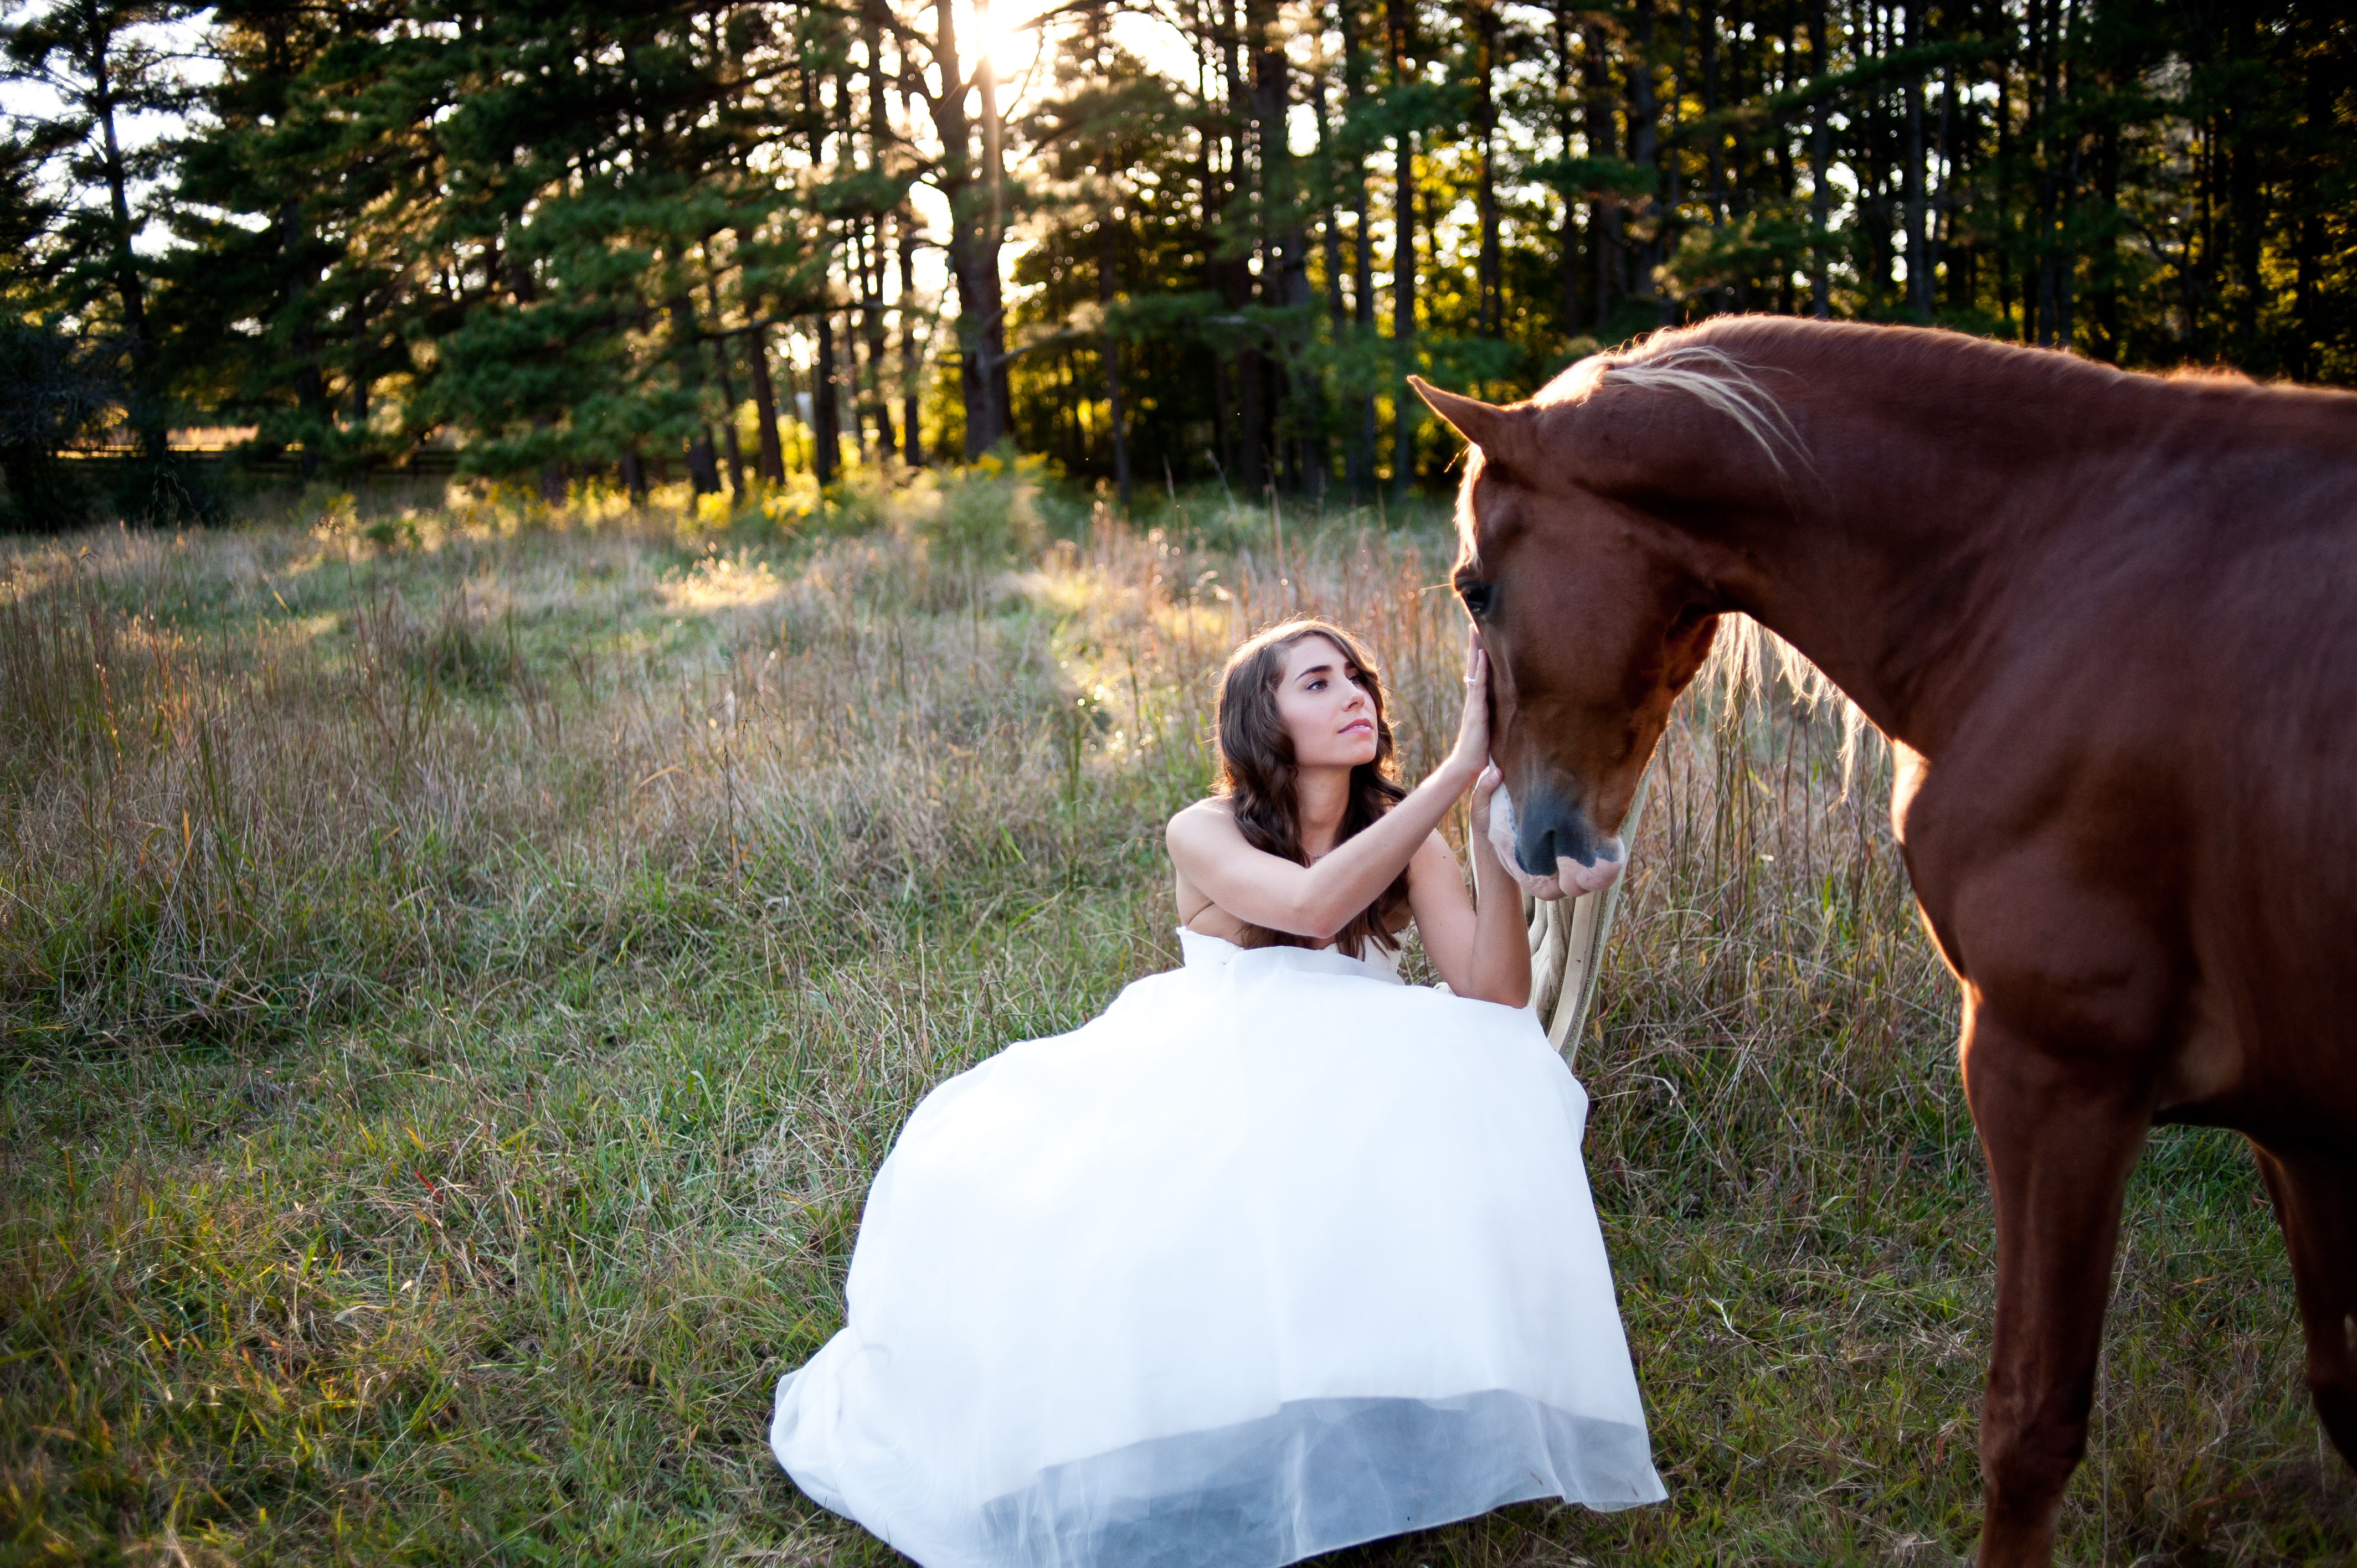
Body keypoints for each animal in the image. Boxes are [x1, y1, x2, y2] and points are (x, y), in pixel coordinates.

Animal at [1414, 321, 2357, 1565]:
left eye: (1476, 587)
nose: (1532, 842)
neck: (2031, 578)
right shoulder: (2295, 1125)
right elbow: (2346, 1397)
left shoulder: (2051, 1073)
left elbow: (2029, 1425)